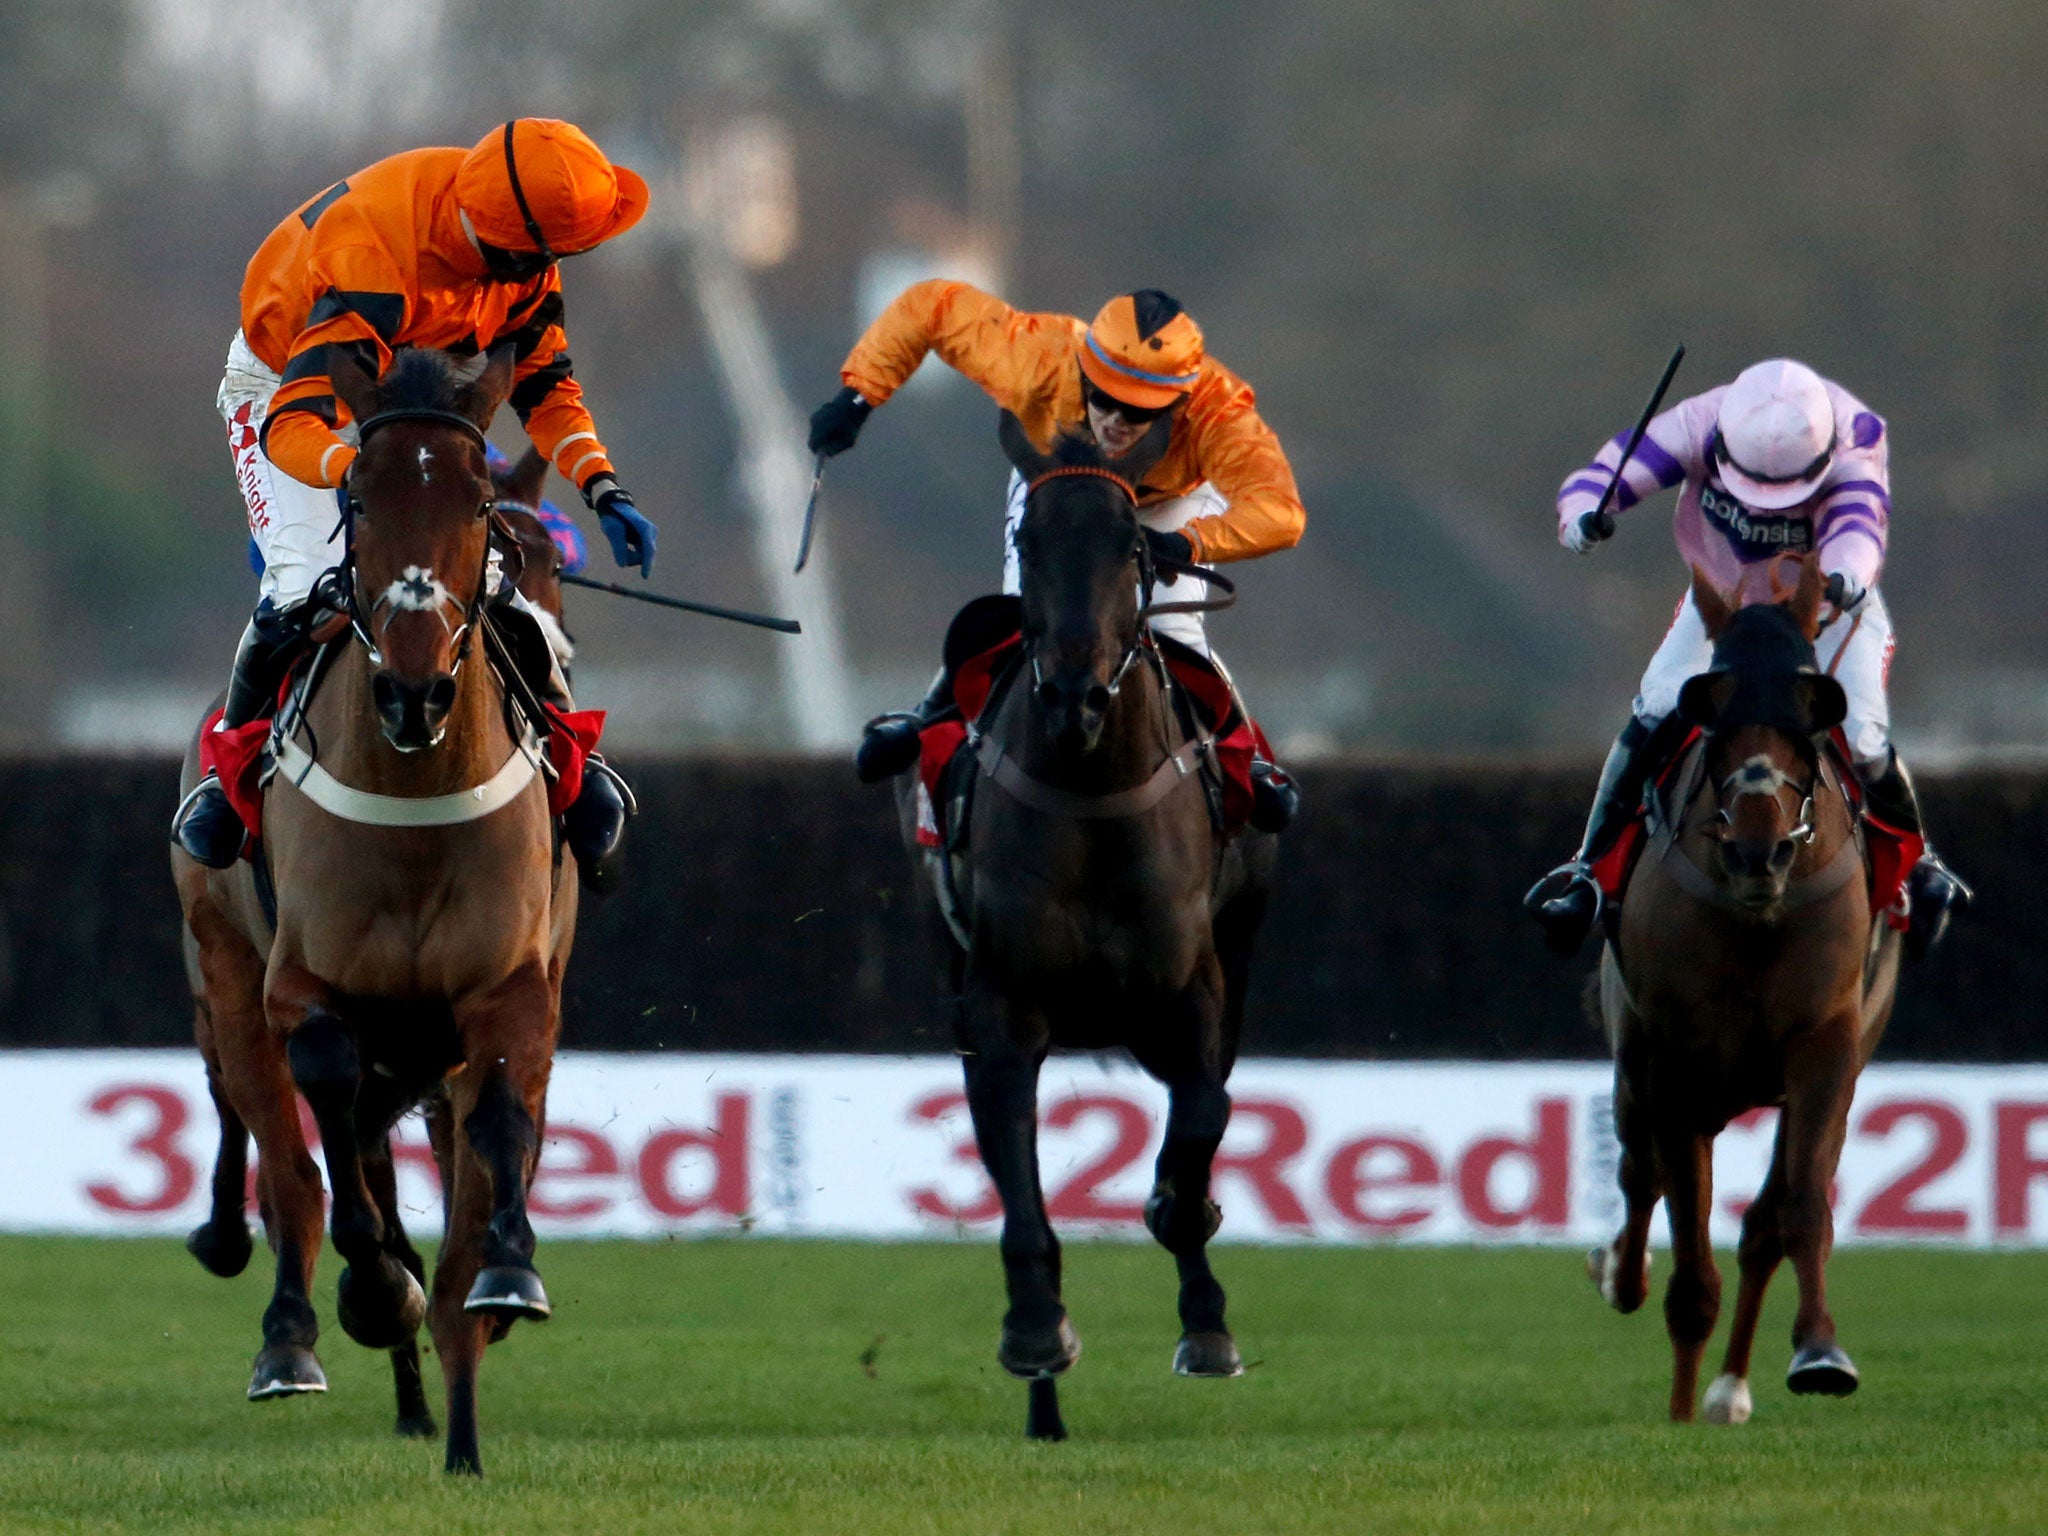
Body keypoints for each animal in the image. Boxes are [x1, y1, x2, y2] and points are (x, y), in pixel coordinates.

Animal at [169, 348, 577, 1482]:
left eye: (482, 507)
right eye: (358, 499)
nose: (414, 692)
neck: (415, 802)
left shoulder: (512, 987)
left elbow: (501, 1142)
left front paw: (506, 1279)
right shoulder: (302, 989)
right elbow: (332, 1134)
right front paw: (372, 1291)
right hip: (226, 974)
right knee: (292, 1161)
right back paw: (294, 1337)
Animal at [892, 409, 1261, 1441]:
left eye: (1133, 542)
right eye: (1028, 540)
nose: (1073, 696)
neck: (1094, 790)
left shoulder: (1195, 993)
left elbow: (1199, 1134)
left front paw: (1206, 1321)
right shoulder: (1001, 1005)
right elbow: (1019, 1183)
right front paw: (1034, 1335)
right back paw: (1045, 1408)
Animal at [1581, 557, 1900, 1433]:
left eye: (1810, 719)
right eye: (1712, 717)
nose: (1760, 849)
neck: (1757, 917)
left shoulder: (1827, 1045)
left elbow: (1798, 1206)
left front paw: (1819, 1352)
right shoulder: (1674, 1059)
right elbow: (1687, 1240)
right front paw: (1679, 1406)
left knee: (1761, 1221)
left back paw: (1729, 1386)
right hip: (1638, 1062)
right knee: (1638, 1172)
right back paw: (1623, 1278)